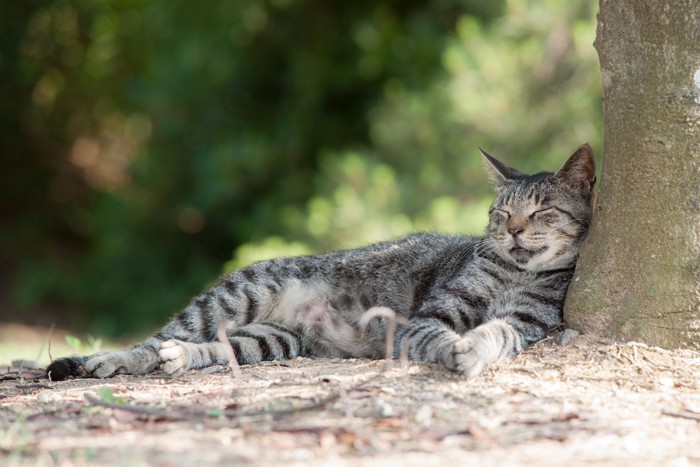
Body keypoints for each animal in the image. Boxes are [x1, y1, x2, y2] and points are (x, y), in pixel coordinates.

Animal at [46, 144, 592, 382]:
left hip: (272, 340)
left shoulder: (526, 323)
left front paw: (473, 349)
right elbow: (438, 334)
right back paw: (109, 361)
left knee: (213, 348)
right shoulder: (432, 314)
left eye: (541, 210)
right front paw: (455, 350)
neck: (516, 273)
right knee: (154, 339)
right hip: (235, 296)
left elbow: (494, 334)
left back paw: (180, 358)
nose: (513, 230)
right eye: (502, 213)